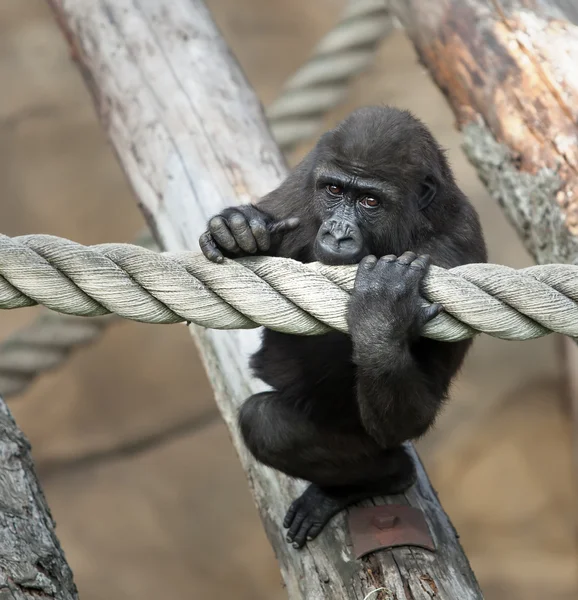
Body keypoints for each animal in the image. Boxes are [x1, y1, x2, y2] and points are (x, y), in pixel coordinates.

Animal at [199, 105, 486, 548]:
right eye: (334, 190)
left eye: (370, 200)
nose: (336, 233)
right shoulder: (310, 173)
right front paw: (237, 227)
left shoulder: (452, 254)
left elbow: (414, 417)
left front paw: (381, 319)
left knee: (268, 424)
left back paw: (379, 479)